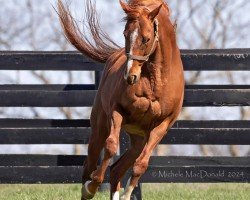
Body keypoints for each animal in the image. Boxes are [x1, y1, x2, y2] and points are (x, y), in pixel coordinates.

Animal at [58, 0, 184, 200]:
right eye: (125, 34)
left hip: (138, 140)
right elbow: (110, 147)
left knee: (118, 169)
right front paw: (92, 186)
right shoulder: (117, 111)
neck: (155, 82)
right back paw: (88, 188)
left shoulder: (161, 126)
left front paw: (127, 194)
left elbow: (141, 164)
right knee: (90, 164)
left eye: (146, 39)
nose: (130, 76)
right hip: (100, 127)